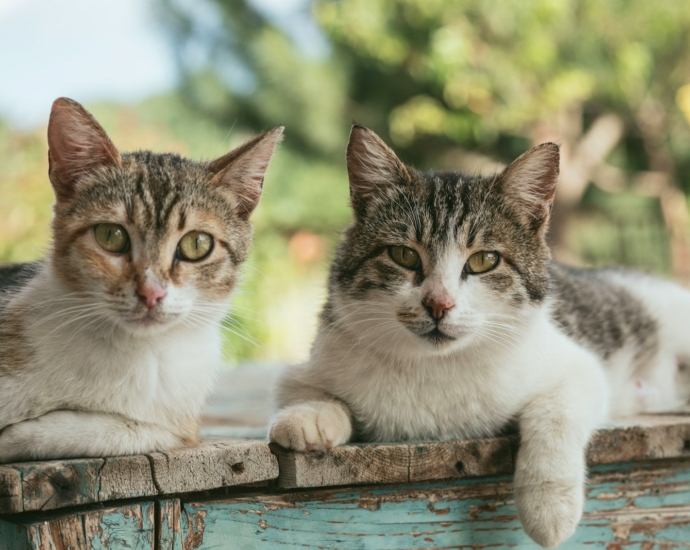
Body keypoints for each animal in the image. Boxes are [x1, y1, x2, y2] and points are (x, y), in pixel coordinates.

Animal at [0, 99, 280, 466]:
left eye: (197, 244)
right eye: (110, 236)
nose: (151, 292)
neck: (129, 349)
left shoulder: (176, 423)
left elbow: (124, 430)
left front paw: (20, 432)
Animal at [268, 126, 688, 550]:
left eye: (484, 260)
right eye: (403, 255)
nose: (438, 304)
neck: (437, 368)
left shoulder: (580, 367)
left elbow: (555, 412)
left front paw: (549, 504)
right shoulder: (314, 359)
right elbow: (307, 391)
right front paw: (309, 416)